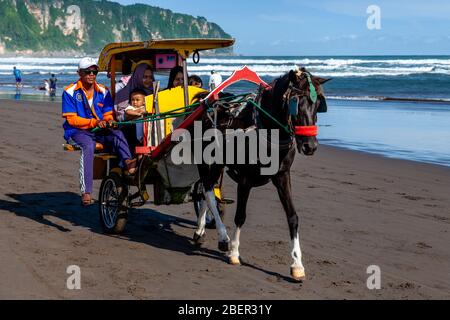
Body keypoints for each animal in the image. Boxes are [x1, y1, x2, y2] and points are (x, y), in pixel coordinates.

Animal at [192, 67, 328, 280]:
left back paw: (200, 231)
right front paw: (234, 252)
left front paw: (297, 264)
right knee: (206, 190)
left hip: (217, 164)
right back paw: (222, 237)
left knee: (207, 190)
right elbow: (240, 216)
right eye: (295, 103)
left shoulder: (282, 176)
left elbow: (293, 217)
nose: (310, 146)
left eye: (318, 104)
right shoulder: (245, 180)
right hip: (204, 161)